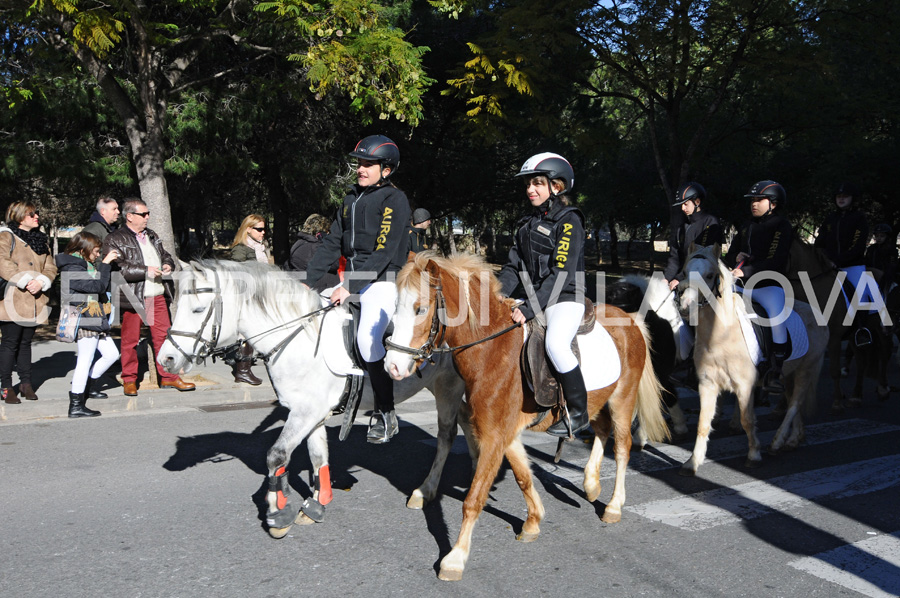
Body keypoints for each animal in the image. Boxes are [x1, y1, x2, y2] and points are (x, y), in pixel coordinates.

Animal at [156, 260, 472, 540]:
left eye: (198, 309)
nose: (165, 360)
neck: (300, 338)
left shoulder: (306, 412)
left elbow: (276, 455)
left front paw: (278, 514)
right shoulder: (312, 413)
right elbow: (318, 457)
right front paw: (317, 506)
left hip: (449, 386)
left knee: (446, 436)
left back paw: (426, 490)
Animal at [382, 252, 668, 580]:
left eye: (421, 308)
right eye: (396, 307)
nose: (392, 366)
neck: (491, 348)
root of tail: (630, 318)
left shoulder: (494, 435)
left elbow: (474, 498)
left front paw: (455, 557)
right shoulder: (504, 432)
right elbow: (523, 475)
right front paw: (533, 521)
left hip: (622, 399)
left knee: (622, 447)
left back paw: (614, 506)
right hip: (596, 401)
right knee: (601, 430)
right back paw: (591, 483)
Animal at [680, 246, 828, 476]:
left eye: (710, 275)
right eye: (685, 272)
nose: (686, 307)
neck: (719, 334)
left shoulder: (744, 386)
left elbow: (747, 420)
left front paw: (754, 455)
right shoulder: (707, 384)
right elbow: (703, 423)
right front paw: (693, 461)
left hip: (807, 369)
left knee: (795, 403)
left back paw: (777, 443)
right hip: (789, 374)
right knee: (794, 402)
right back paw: (793, 440)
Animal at [784, 241, 888, 410]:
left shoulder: (834, 338)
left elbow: (834, 370)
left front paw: (837, 402)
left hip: (882, 327)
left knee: (884, 352)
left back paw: (883, 389)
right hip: (854, 334)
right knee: (861, 361)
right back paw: (856, 396)